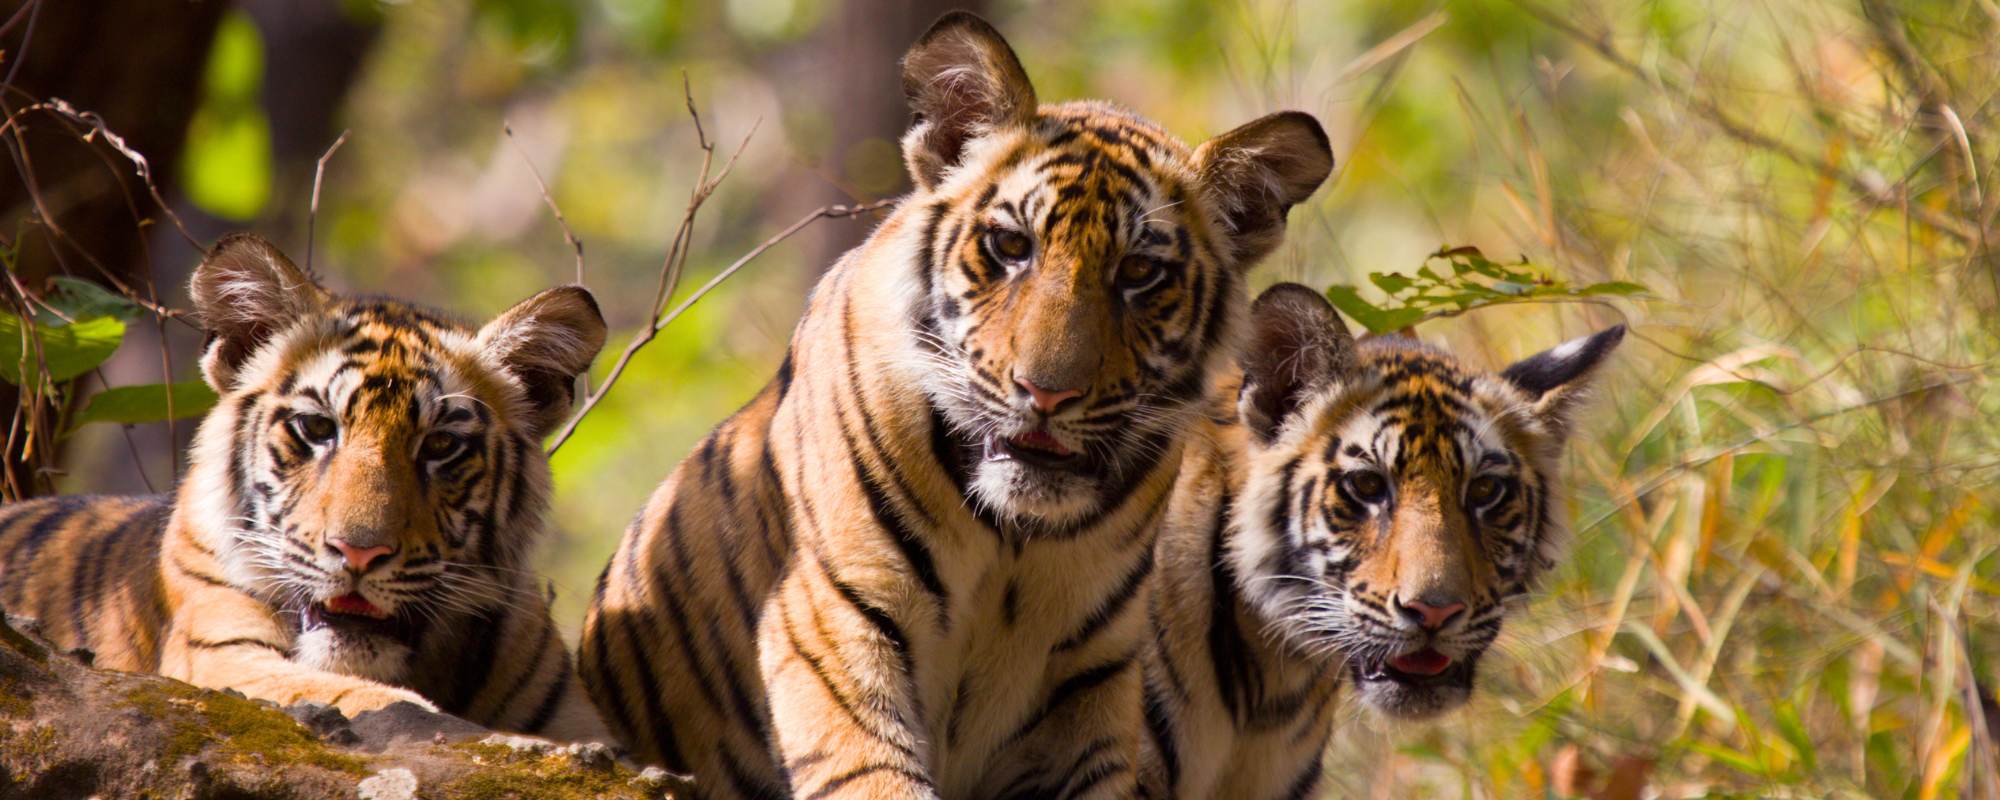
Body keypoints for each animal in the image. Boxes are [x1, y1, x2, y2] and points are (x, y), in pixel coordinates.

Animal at [579, 11, 1333, 800]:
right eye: (1010, 245)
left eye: (1138, 272)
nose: (1047, 392)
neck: (1015, 548)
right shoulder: (831, 616)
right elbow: (872, 772)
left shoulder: (1091, 683)